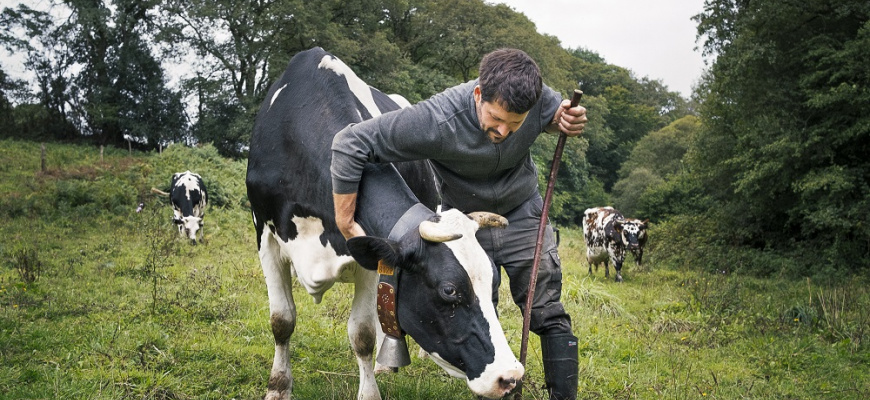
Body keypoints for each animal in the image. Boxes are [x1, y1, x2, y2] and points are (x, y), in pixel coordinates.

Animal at [245, 47, 520, 400]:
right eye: (449, 290)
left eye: (494, 283)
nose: (509, 376)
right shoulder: (265, 235)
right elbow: (281, 320)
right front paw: (278, 387)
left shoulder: (369, 254)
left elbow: (362, 333)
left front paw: (370, 391)